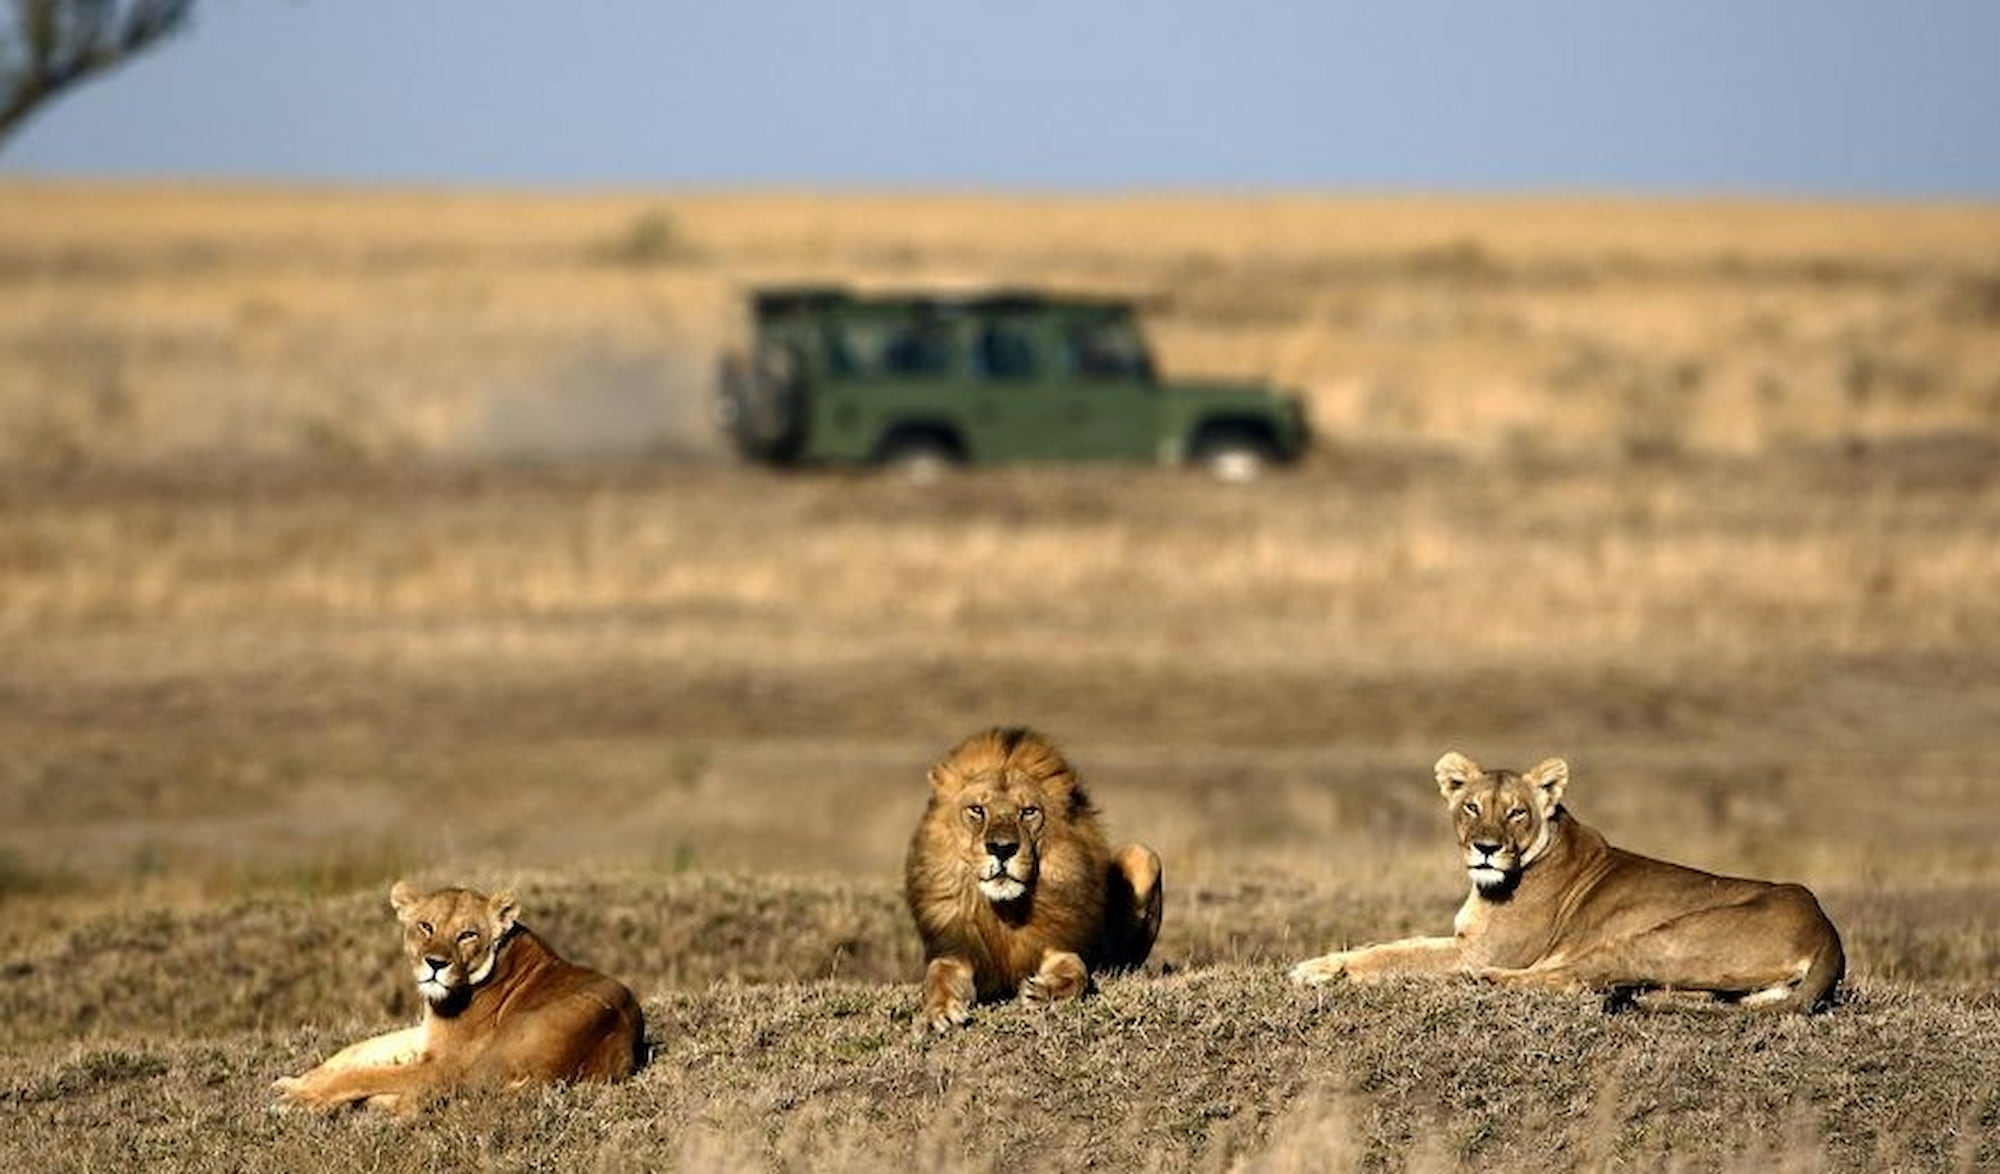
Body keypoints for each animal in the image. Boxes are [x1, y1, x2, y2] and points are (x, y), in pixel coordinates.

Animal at [273, 881, 646, 1113]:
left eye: (467, 935)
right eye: (426, 926)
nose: (436, 964)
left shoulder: (443, 1063)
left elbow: (366, 1073)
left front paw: (298, 1097)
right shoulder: (427, 1035)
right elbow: (358, 1049)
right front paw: (295, 1081)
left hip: (473, 1066)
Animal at [904, 726, 1163, 1031]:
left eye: (1028, 811)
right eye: (977, 810)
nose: (1002, 848)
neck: (1005, 911)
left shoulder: (1059, 945)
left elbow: (1077, 971)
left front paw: (1042, 992)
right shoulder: (957, 951)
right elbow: (938, 976)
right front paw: (940, 1011)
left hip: (1144, 856)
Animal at [1289, 752, 1845, 1013]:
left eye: (1516, 813)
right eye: (1471, 807)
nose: (1486, 848)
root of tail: (1828, 931)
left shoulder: (1481, 949)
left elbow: (1396, 957)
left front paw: (1323, 973)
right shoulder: (1464, 938)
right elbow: (1389, 944)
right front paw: (1320, 964)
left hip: (1657, 937)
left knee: (1582, 979)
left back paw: (1476, 981)